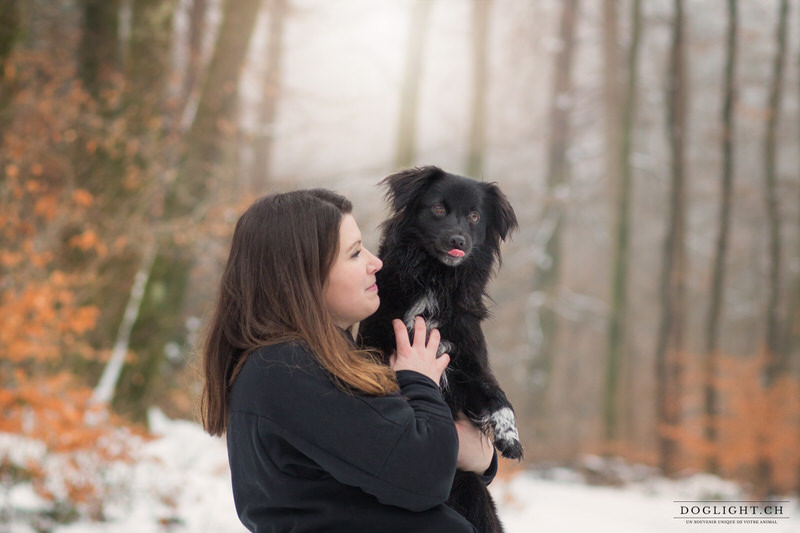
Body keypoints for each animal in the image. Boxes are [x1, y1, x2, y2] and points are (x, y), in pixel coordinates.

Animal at [360, 164, 520, 528]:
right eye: (437, 208)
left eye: (475, 216)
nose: (458, 240)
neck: (436, 281)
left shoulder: (468, 365)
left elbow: (500, 398)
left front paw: (509, 435)